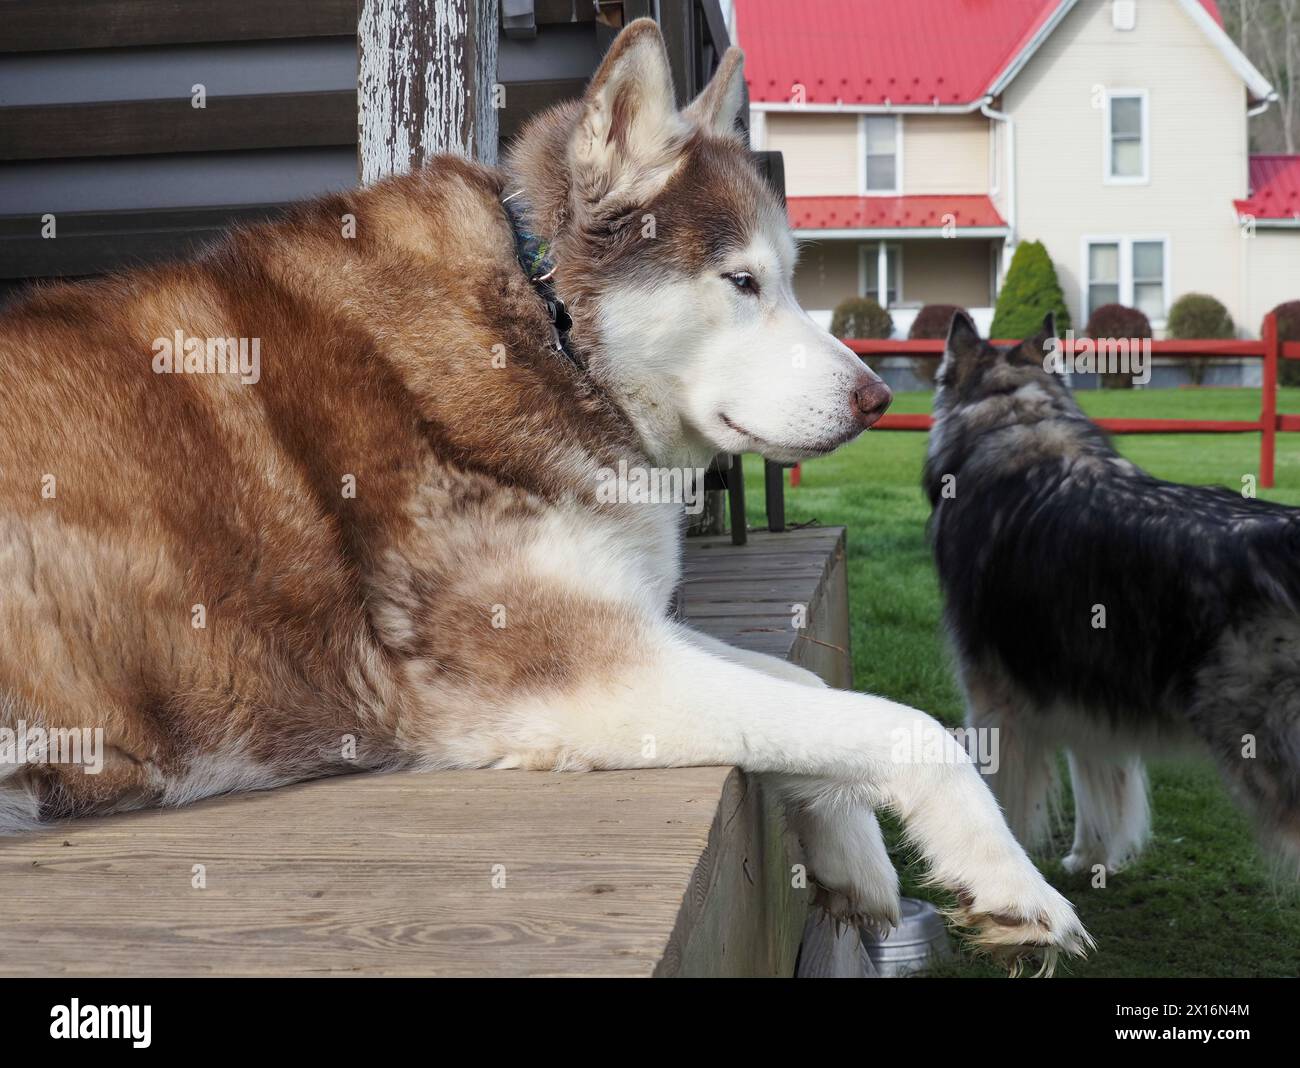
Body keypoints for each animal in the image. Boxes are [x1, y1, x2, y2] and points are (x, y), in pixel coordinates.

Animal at [0, 23, 1086, 961]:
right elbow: (897, 724)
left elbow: (810, 692)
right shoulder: (572, 673)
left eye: (785, 276)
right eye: (742, 283)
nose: (875, 397)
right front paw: (1011, 883)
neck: (547, 326)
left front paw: (850, 857)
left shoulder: (622, 621)